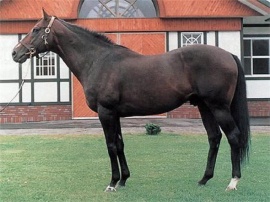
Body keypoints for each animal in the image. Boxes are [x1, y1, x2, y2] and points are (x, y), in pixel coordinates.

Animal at [11, 9, 250, 193]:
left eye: (36, 29)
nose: (15, 53)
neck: (98, 61)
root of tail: (228, 54)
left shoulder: (105, 112)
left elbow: (110, 146)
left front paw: (112, 183)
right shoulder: (114, 114)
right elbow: (120, 144)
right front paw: (124, 179)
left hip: (218, 107)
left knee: (234, 136)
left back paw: (232, 182)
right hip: (204, 107)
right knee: (214, 138)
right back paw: (204, 179)